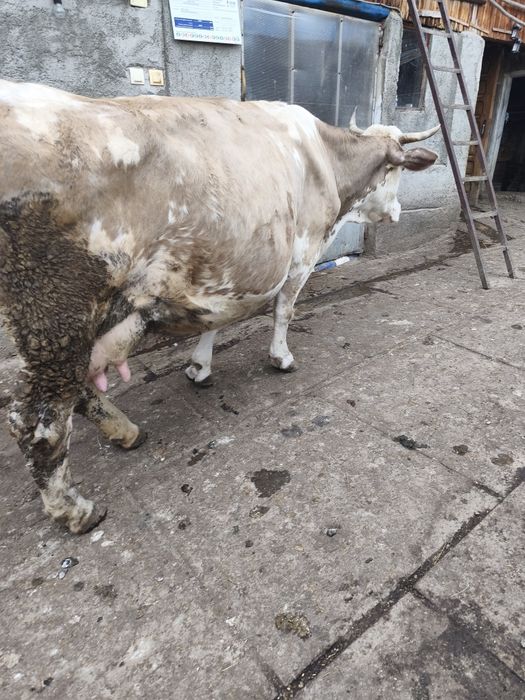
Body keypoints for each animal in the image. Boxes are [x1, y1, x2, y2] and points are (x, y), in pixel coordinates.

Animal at [0, 80, 439, 533]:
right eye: (398, 170)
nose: (398, 213)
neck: (327, 158)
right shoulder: (302, 253)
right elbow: (284, 311)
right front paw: (280, 357)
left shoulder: (226, 268)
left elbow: (215, 319)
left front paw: (199, 365)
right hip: (55, 311)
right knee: (38, 422)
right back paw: (75, 509)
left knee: (78, 391)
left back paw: (126, 432)